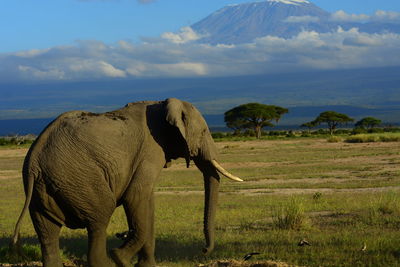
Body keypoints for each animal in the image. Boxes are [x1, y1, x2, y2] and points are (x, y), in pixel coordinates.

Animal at [10, 98, 242, 267]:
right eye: (203, 132)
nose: (203, 250)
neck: (162, 104)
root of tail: (34, 161)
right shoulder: (150, 150)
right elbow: (136, 197)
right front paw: (120, 258)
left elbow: (147, 205)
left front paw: (146, 266)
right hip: (78, 180)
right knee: (99, 219)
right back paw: (107, 263)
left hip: (43, 189)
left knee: (47, 231)